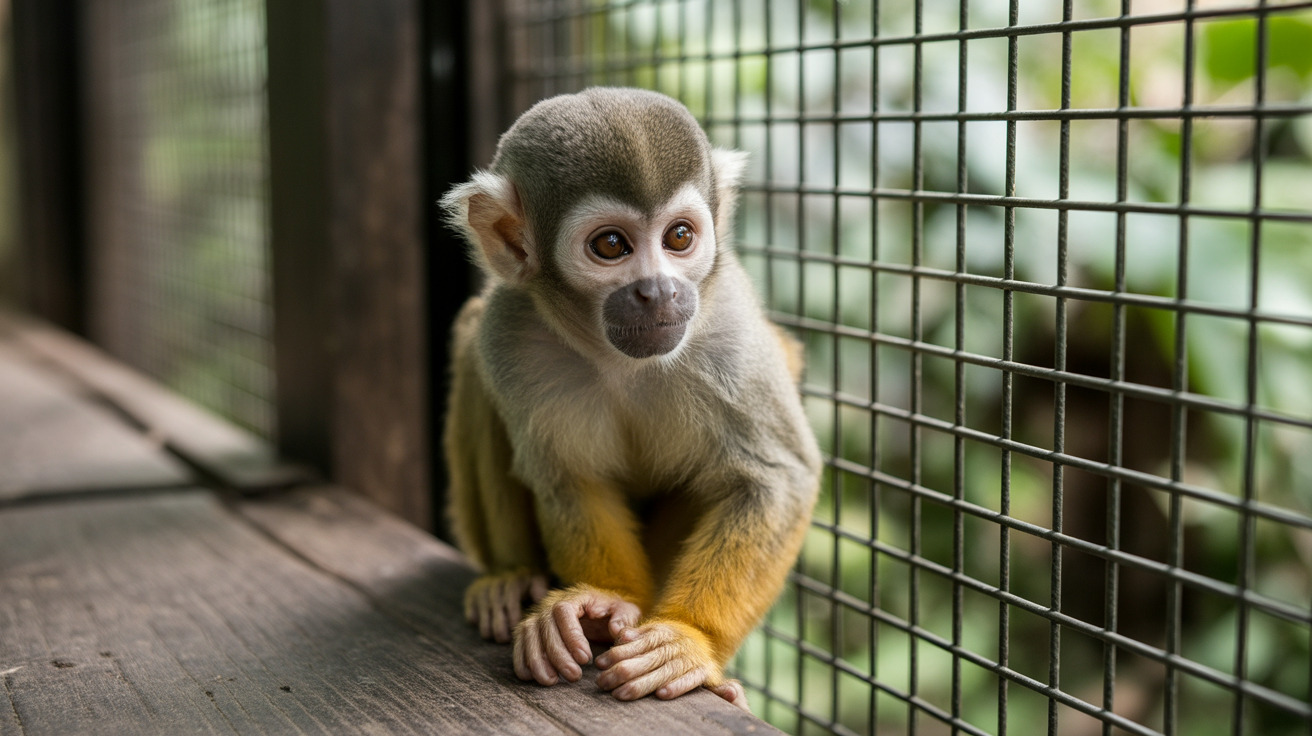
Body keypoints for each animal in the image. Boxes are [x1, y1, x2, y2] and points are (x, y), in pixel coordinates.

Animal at [440, 87, 821, 710]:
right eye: (611, 245)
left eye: (680, 237)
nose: (658, 291)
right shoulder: (513, 335)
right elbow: (566, 477)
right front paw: (603, 601)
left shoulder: (728, 328)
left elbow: (776, 477)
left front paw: (686, 639)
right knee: (472, 348)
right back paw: (510, 576)